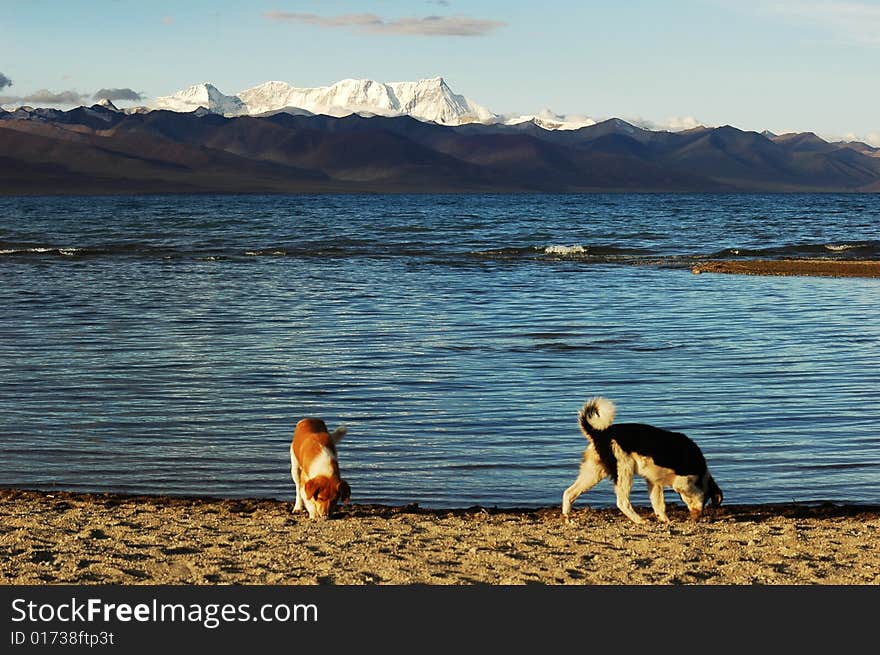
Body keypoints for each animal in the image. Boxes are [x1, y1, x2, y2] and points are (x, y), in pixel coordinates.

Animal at [564, 398, 720, 524]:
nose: (696, 518)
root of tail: (599, 433)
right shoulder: (682, 481)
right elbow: (696, 493)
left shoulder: (654, 481)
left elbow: (658, 504)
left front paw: (666, 520)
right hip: (624, 471)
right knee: (622, 502)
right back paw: (639, 520)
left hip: (593, 473)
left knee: (569, 493)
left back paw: (567, 519)